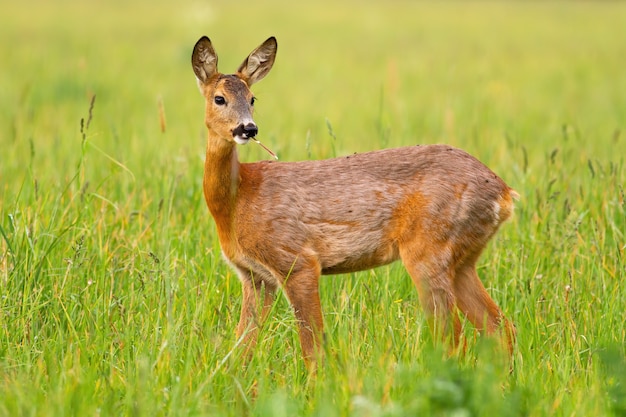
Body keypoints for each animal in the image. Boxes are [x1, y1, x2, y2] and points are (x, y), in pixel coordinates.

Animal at [190, 36, 516, 368]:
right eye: (219, 98)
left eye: (253, 98)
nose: (248, 129)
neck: (237, 201)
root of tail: (505, 194)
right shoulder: (255, 277)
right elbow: (241, 347)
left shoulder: (297, 259)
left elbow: (312, 349)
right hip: (463, 259)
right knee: (500, 326)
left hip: (429, 250)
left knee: (455, 338)